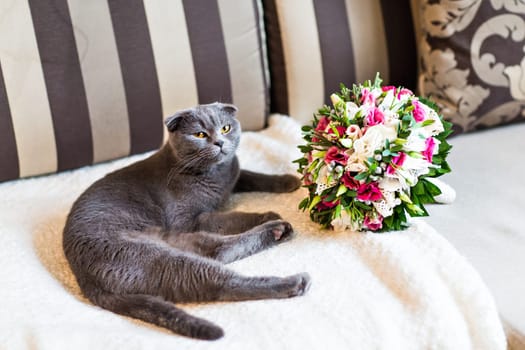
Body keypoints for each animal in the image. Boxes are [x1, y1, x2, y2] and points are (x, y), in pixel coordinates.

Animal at [62, 101, 310, 340]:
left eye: (226, 128)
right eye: (199, 134)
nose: (219, 142)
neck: (215, 175)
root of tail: (85, 279)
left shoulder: (233, 173)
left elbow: (250, 175)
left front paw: (288, 181)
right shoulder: (189, 220)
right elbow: (231, 216)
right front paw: (268, 214)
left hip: (176, 241)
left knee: (217, 253)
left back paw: (279, 232)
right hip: (155, 255)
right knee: (221, 273)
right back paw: (291, 271)